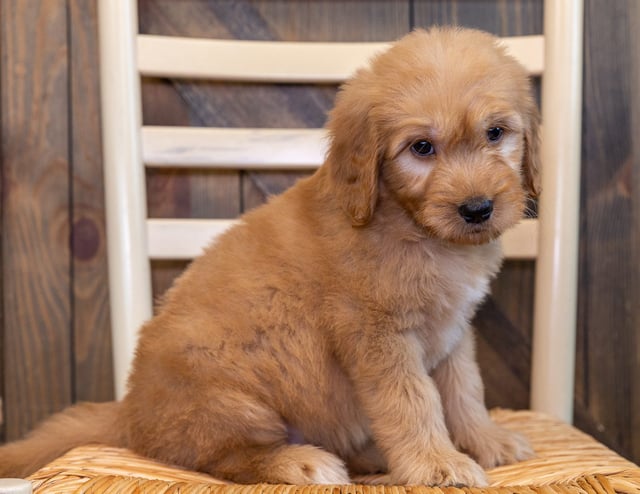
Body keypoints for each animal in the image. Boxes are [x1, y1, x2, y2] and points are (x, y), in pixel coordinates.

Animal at [1, 27, 540, 486]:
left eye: (496, 133)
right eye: (422, 147)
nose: (477, 209)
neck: (411, 226)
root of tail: (128, 412)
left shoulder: (452, 330)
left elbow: (464, 390)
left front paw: (485, 441)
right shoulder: (377, 336)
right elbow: (413, 401)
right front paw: (436, 463)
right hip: (232, 397)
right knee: (225, 458)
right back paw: (301, 462)